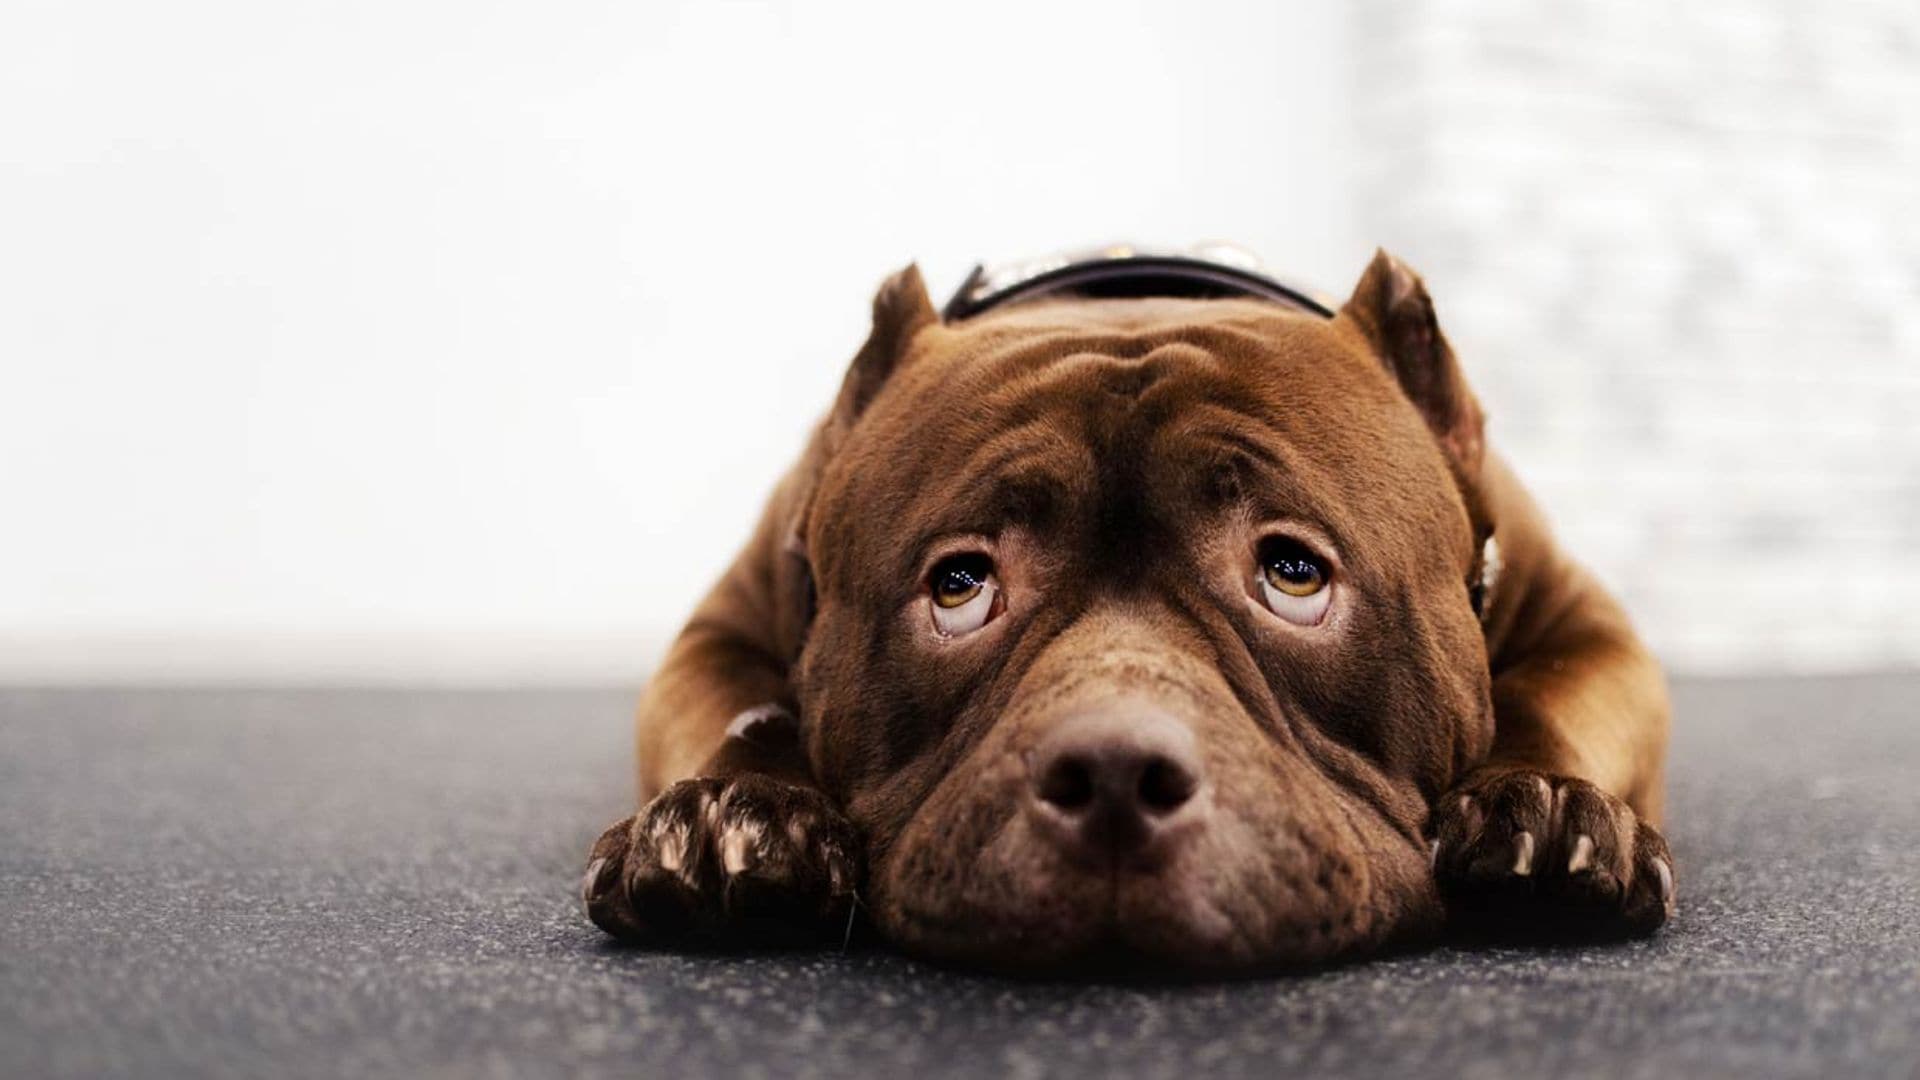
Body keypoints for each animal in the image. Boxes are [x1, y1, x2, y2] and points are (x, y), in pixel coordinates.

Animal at [576, 249, 1674, 968]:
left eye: (1293, 572)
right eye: (960, 585)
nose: (1111, 773)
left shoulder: (1591, 630)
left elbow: (1547, 695)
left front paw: (1542, 805)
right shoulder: (717, 635)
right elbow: (743, 707)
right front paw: (731, 814)